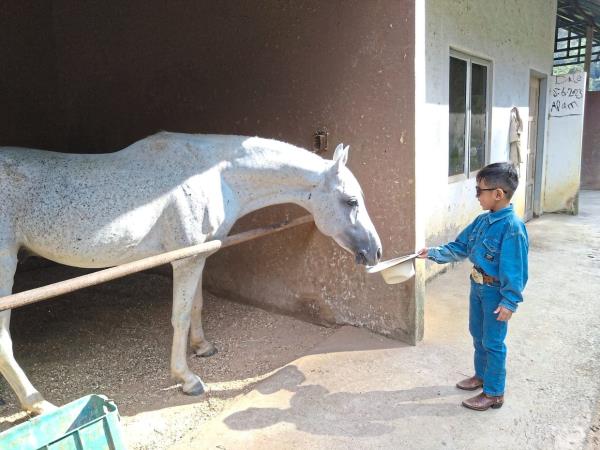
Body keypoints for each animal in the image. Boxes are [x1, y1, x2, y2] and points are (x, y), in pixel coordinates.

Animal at [0, 133, 382, 414]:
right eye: (350, 201)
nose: (375, 252)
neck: (214, 175)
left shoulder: (198, 256)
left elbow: (197, 305)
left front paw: (203, 347)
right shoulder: (184, 260)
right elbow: (180, 316)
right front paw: (186, 379)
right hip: (5, 269)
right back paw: (39, 404)